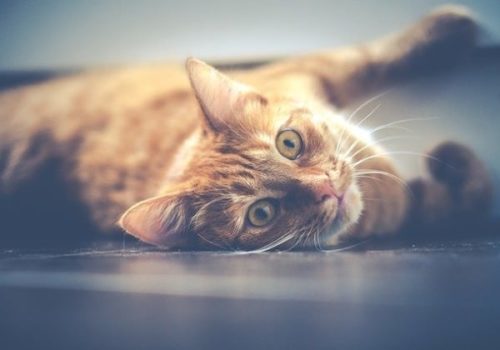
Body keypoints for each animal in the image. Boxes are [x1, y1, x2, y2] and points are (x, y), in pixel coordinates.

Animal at [0, 6, 492, 252]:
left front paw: (446, 31)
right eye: (261, 214)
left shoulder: (302, 70)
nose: (328, 188)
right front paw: (452, 164)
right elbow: (463, 199)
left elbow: (367, 57)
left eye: (289, 143)